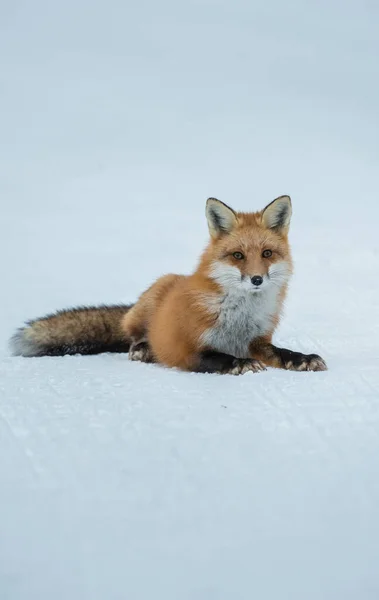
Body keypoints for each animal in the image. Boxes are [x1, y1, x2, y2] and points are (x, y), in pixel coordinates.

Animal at [10, 195, 328, 376]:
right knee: (132, 338)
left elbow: (281, 353)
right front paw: (239, 364)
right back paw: (143, 349)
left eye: (267, 254)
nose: (257, 279)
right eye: (238, 256)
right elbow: (217, 358)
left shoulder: (257, 341)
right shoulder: (187, 349)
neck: (238, 318)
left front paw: (302, 359)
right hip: (151, 298)